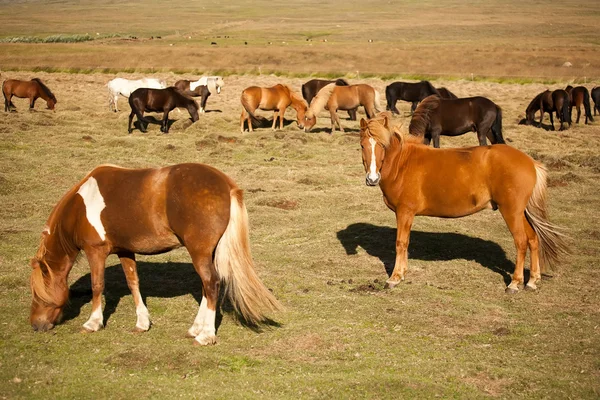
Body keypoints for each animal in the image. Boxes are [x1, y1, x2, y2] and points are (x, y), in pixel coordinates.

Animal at [28, 164, 282, 346]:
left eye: (39, 295)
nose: (35, 325)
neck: (80, 207)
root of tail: (226, 184)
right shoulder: (125, 250)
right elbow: (133, 283)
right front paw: (142, 322)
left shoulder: (96, 251)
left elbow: (97, 285)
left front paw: (93, 322)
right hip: (206, 254)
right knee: (206, 286)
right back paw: (196, 329)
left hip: (198, 252)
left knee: (211, 284)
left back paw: (205, 335)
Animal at [358, 114, 568, 292]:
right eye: (362, 145)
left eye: (382, 145)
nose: (372, 179)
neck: (403, 164)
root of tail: (531, 162)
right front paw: (402, 274)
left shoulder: (404, 212)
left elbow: (401, 243)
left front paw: (394, 277)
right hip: (520, 212)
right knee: (533, 239)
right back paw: (532, 281)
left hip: (511, 212)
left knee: (521, 242)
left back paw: (515, 283)